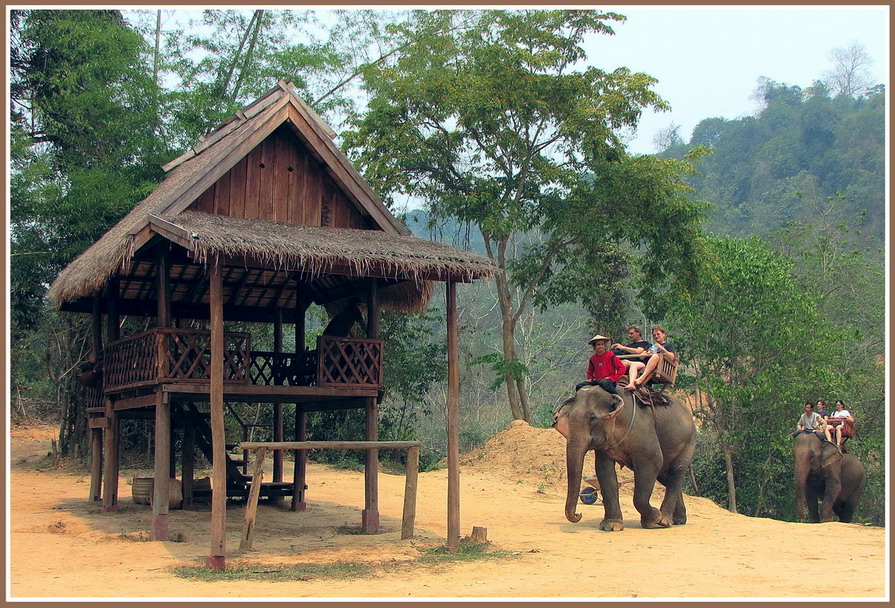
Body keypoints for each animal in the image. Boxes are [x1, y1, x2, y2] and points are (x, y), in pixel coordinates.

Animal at [552, 388, 700, 528]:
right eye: (569, 418)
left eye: (592, 418)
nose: (579, 514)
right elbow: (604, 470)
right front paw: (611, 526)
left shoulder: (644, 434)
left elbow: (653, 462)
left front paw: (654, 519)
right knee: (665, 477)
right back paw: (678, 520)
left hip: (689, 442)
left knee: (676, 473)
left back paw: (664, 520)